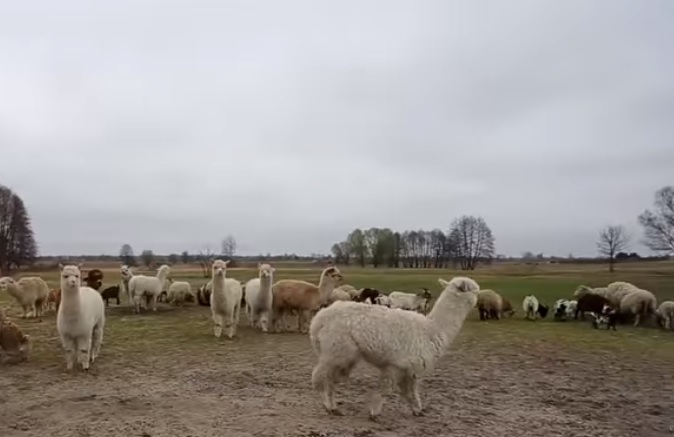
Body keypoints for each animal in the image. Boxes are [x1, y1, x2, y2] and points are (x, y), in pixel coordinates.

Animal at [308, 278, 480, 418]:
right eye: (475, 290)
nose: (479, 300)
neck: (432, 328)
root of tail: (318, 320)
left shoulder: (410, 368)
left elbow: (411, 392)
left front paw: (418, 411)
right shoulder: (396, 364)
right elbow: (386, 389)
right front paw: (374, 412)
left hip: (341, 354)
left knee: (332, 380)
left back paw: (334, 407)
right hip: (336, 349)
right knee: (320, 377)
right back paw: (328, 406)